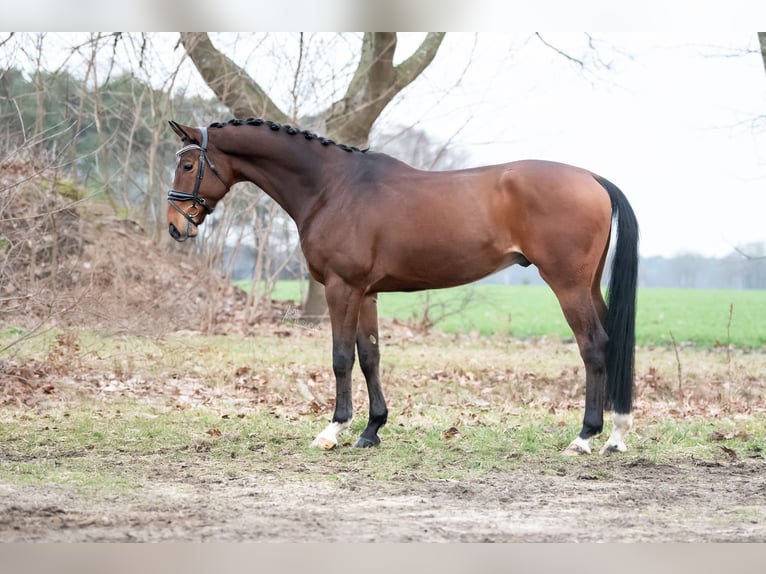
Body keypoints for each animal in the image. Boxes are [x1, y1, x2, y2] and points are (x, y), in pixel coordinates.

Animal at [166, 118, 639, 456]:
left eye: (188, 165)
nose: (174, 227)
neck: (333, 188)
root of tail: (592, 179)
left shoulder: (341, 288)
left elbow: (341, 358)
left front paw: (333, 430)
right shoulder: (366, 292)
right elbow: (370, 357)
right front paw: (372, 429)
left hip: (567, 285)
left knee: (594, 346)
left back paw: (585, 437)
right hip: (588, 285)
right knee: (611, 344)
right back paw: (616, 436)